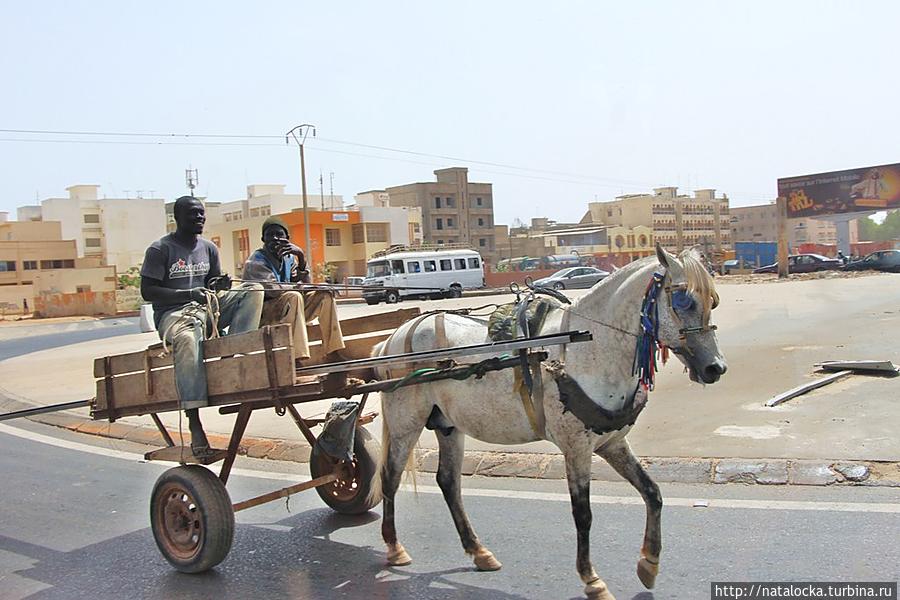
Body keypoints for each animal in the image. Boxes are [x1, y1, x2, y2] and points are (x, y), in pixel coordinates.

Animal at [366, 245, 724, 600]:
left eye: (713, 301)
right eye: (683, 301)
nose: (716, 368)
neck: (588, 346)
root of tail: (393, 338)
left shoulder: (611, 442)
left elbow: (652, 492)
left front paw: (648, 563)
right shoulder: (576, 447)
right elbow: (583, 514)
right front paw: (591, 578)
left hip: (449, 426)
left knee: (448, 482)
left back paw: (478, 550)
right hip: (405, 424)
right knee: (390, 478)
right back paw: (395, 547)